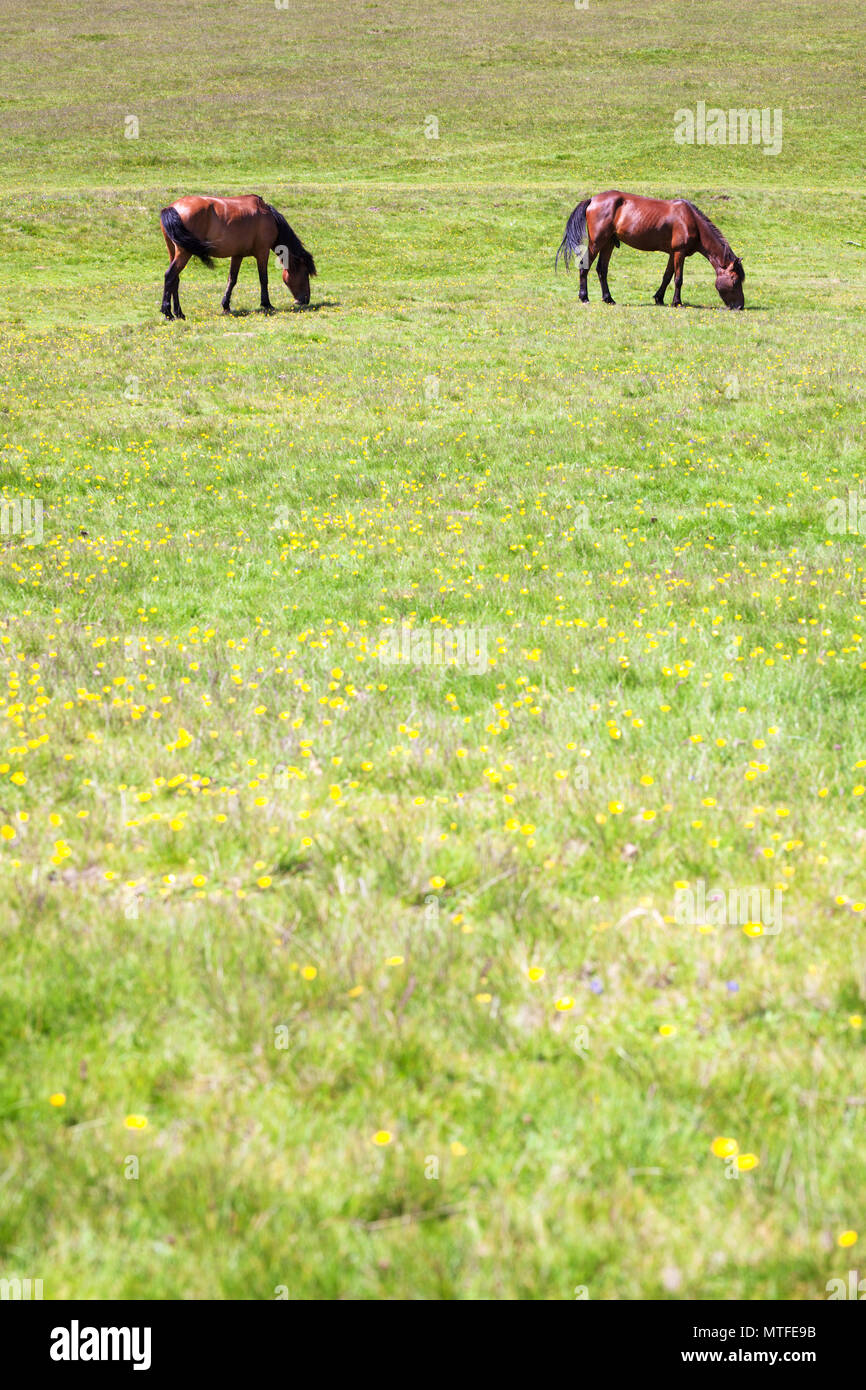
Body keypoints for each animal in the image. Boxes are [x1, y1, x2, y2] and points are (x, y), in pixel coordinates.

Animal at [158, 194, 317, 320]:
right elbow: (263, 279)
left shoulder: (237, 255)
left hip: (173, 251)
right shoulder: (262, 252)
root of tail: (172, 207)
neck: (267, 215)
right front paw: (267, 304)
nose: (305, 300)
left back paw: (179, 313)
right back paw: (168, 313)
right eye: (305, 273)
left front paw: (226, 305)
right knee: (170, 275)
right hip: (184, 253)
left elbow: (232, 280)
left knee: (175, 280)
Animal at [556, 191, 744, 309]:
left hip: (608, 243)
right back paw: (584, 297)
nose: (740, 306)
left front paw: (659, 298)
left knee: (602, 269)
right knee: (585, 266)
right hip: (597, 242)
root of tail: (592, 200)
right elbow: (678, 279)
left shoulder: (673, 253)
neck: (690, 220)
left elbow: (667, 276)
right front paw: (677, 302)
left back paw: (609, 299)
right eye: (735, 280)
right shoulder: (680, 252)